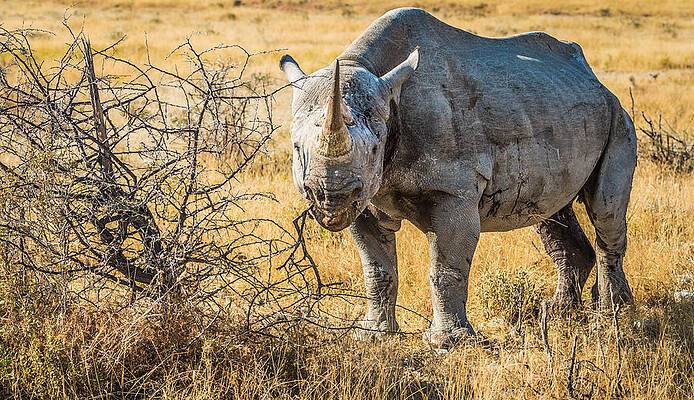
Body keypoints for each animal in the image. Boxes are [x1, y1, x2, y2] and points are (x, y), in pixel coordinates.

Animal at [280, 7, 636, 346]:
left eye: (374, 149)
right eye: (296, 148)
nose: (330, 197)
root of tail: (596, 80)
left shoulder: (453, 189)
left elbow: (446, 267)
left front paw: (449, 342)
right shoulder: (366, 198)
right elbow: (377, 268)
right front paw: (374, 336)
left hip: (617, 117)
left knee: (605, 210)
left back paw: (612, 318)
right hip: (552, 105)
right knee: (550, 212)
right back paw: (560, 313)